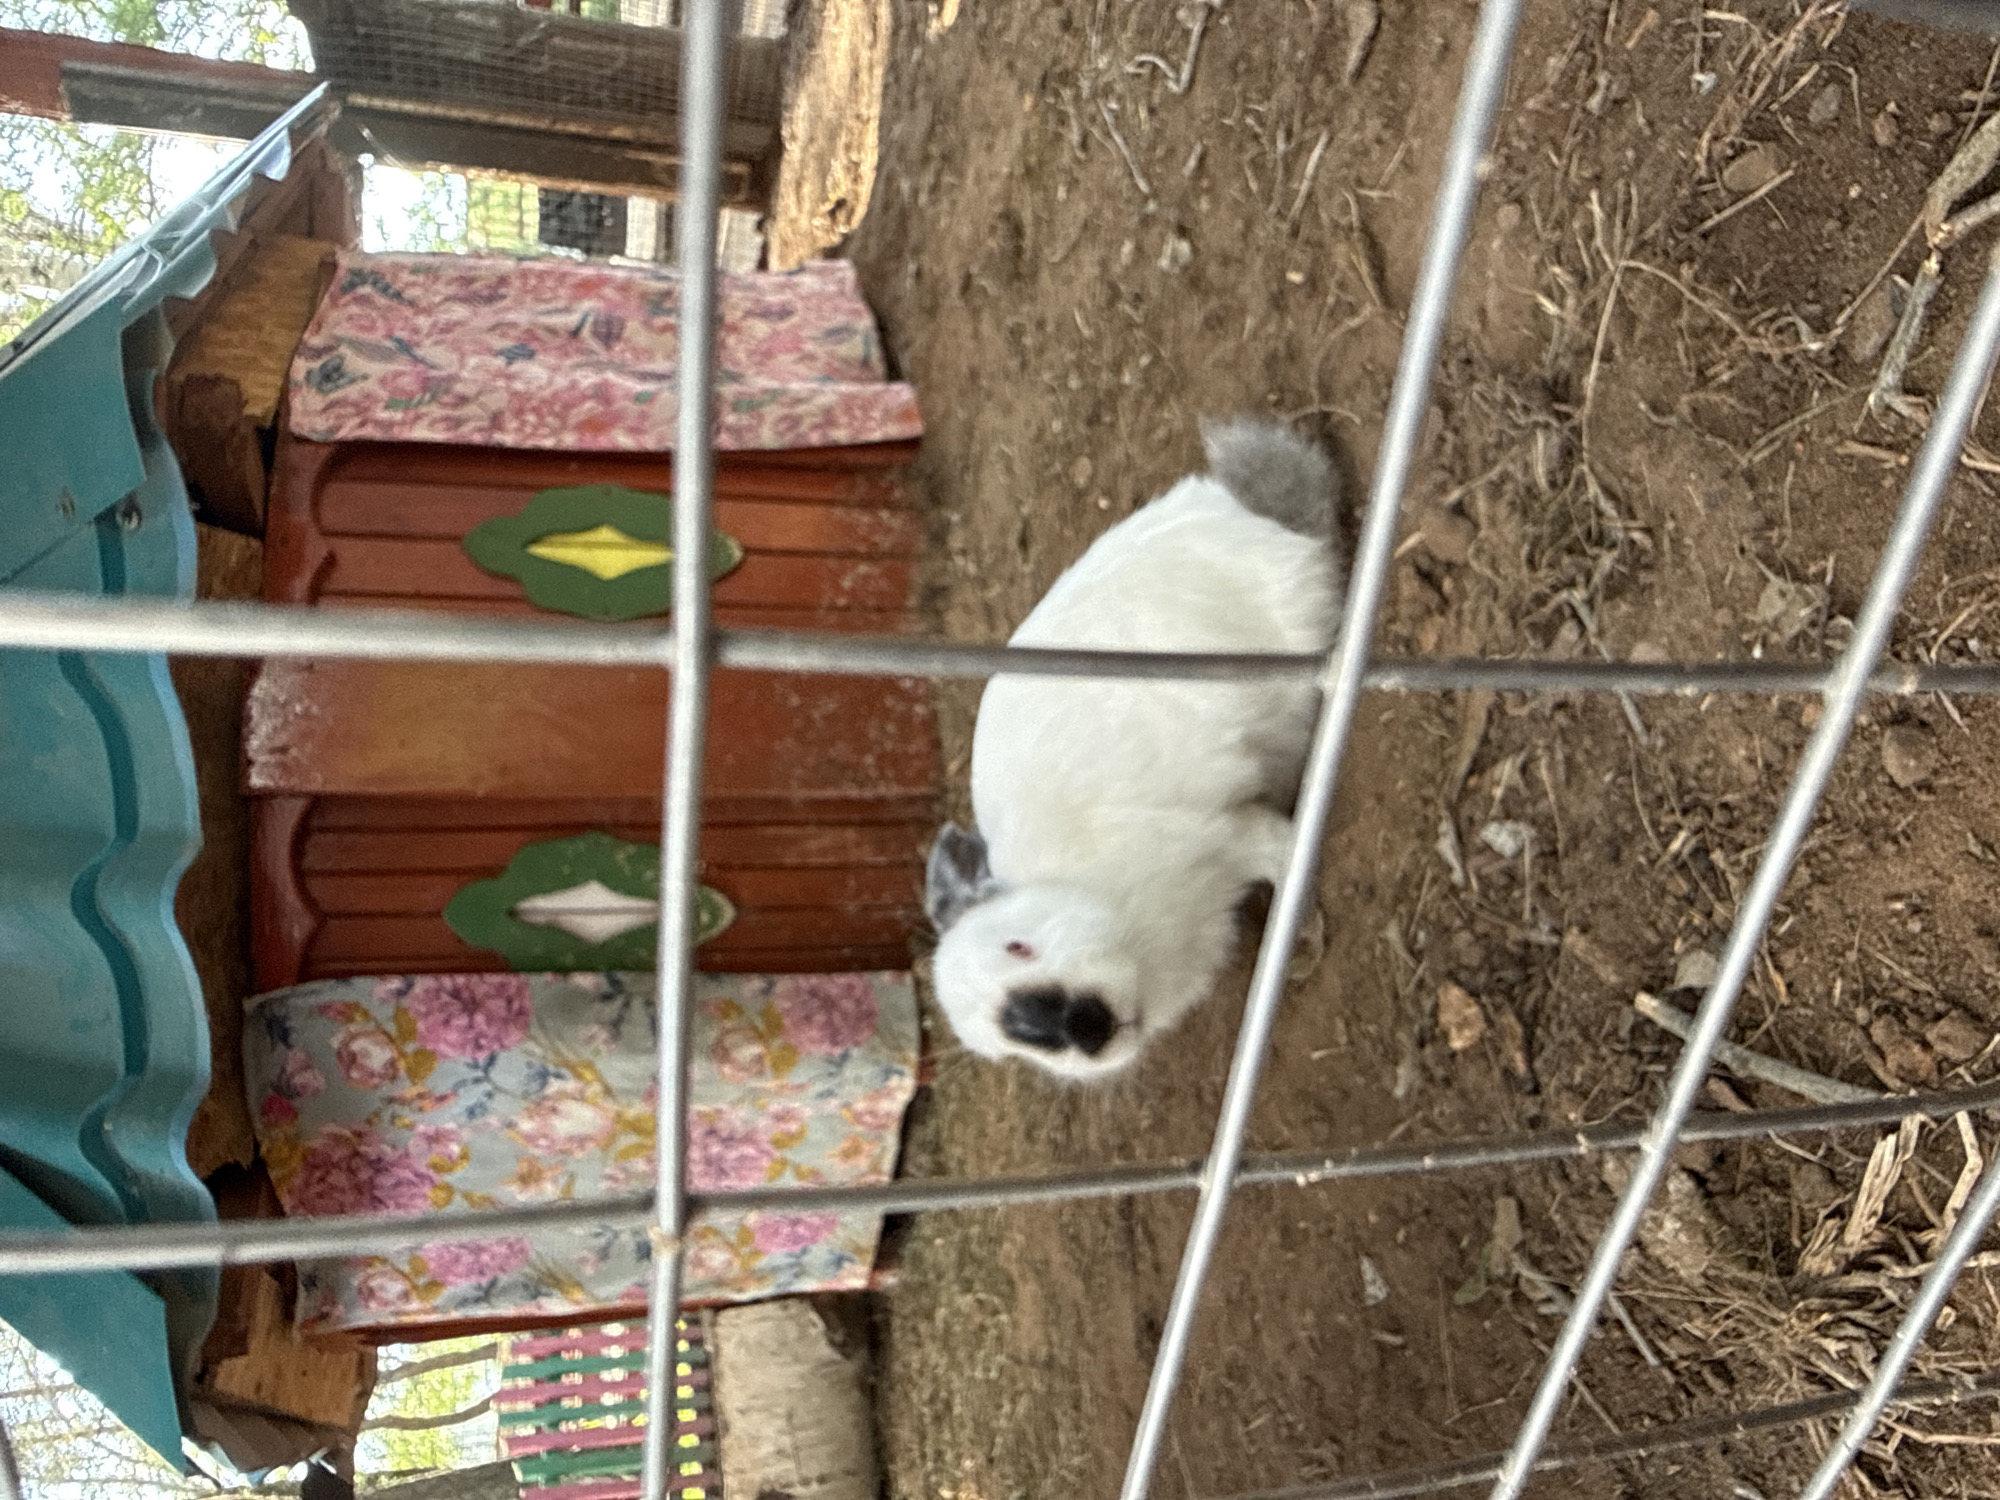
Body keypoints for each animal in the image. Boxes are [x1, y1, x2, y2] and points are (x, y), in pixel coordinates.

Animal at [924, 417, 1345, 1081]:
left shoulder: (1229, 832)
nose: (1082, 1027)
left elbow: (1284, 853)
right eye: (1009, 1046)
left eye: (1018, 946)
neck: (1103, 901)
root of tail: (1235, 509)